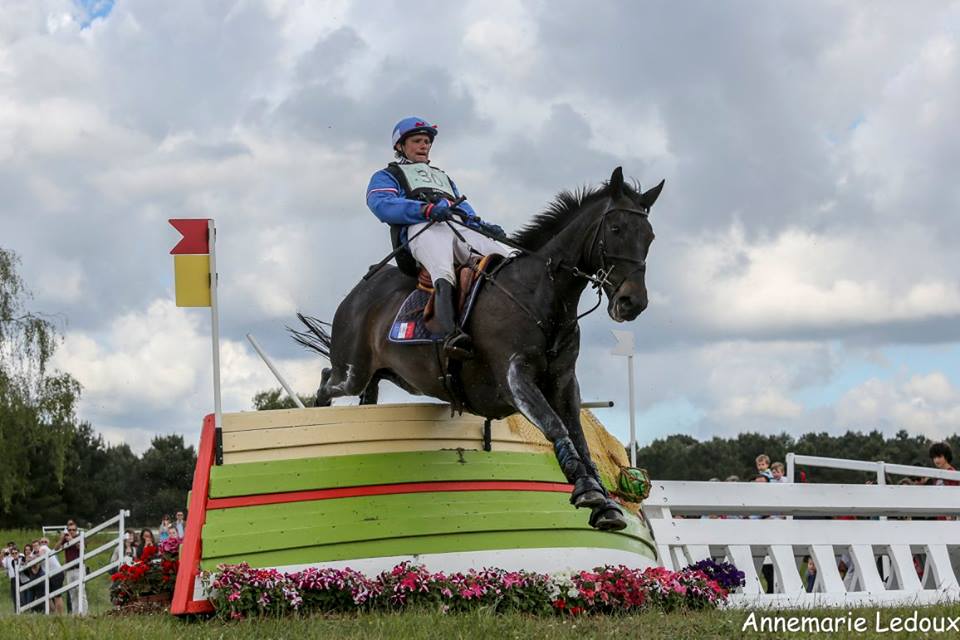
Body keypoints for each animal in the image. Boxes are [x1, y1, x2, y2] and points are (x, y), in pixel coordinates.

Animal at [298, 166, 660, 528]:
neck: (542, 296)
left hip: (390, 375)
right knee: (327, 379)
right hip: (352, 370)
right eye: (615, 229)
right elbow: (555, 425)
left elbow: (579, 436)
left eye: (650, 237)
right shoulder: (513, 377)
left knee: (365, 392)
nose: (632, 302)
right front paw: (588, 490)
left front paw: (605, 503)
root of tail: (359, 292)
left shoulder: (564, 381)